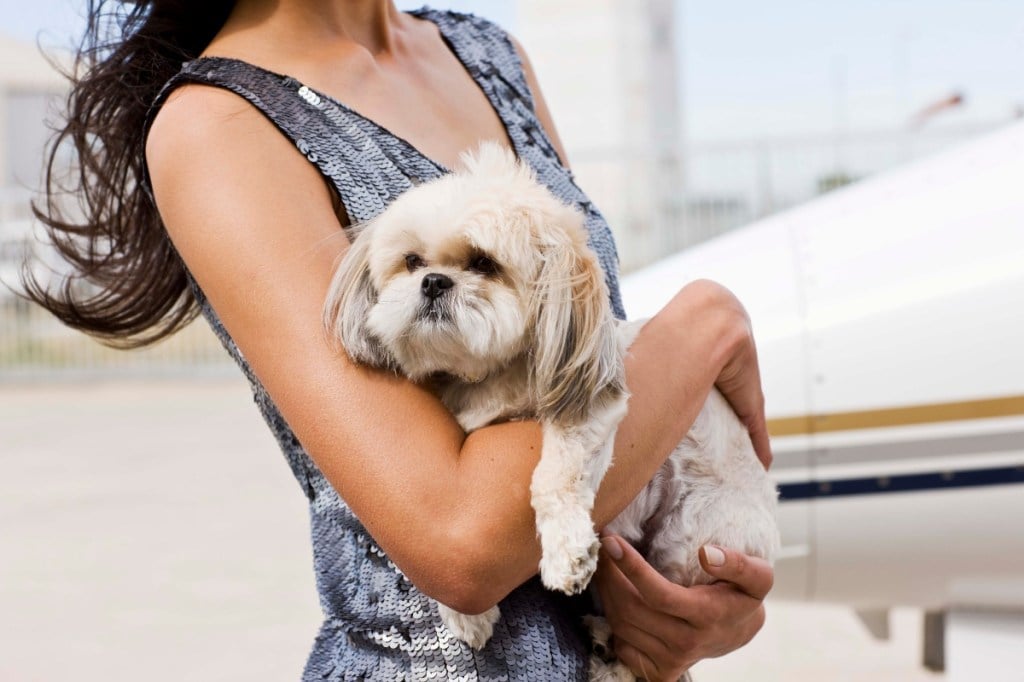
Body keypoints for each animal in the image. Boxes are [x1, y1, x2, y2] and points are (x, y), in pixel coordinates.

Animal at [323, 142, 778, 667]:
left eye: (484, 263)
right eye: (412, 261)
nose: (434, 282)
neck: (490, 373)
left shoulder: (591, 408)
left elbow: (554, 478)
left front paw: (567, 554)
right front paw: (467, 613)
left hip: (694, 540)